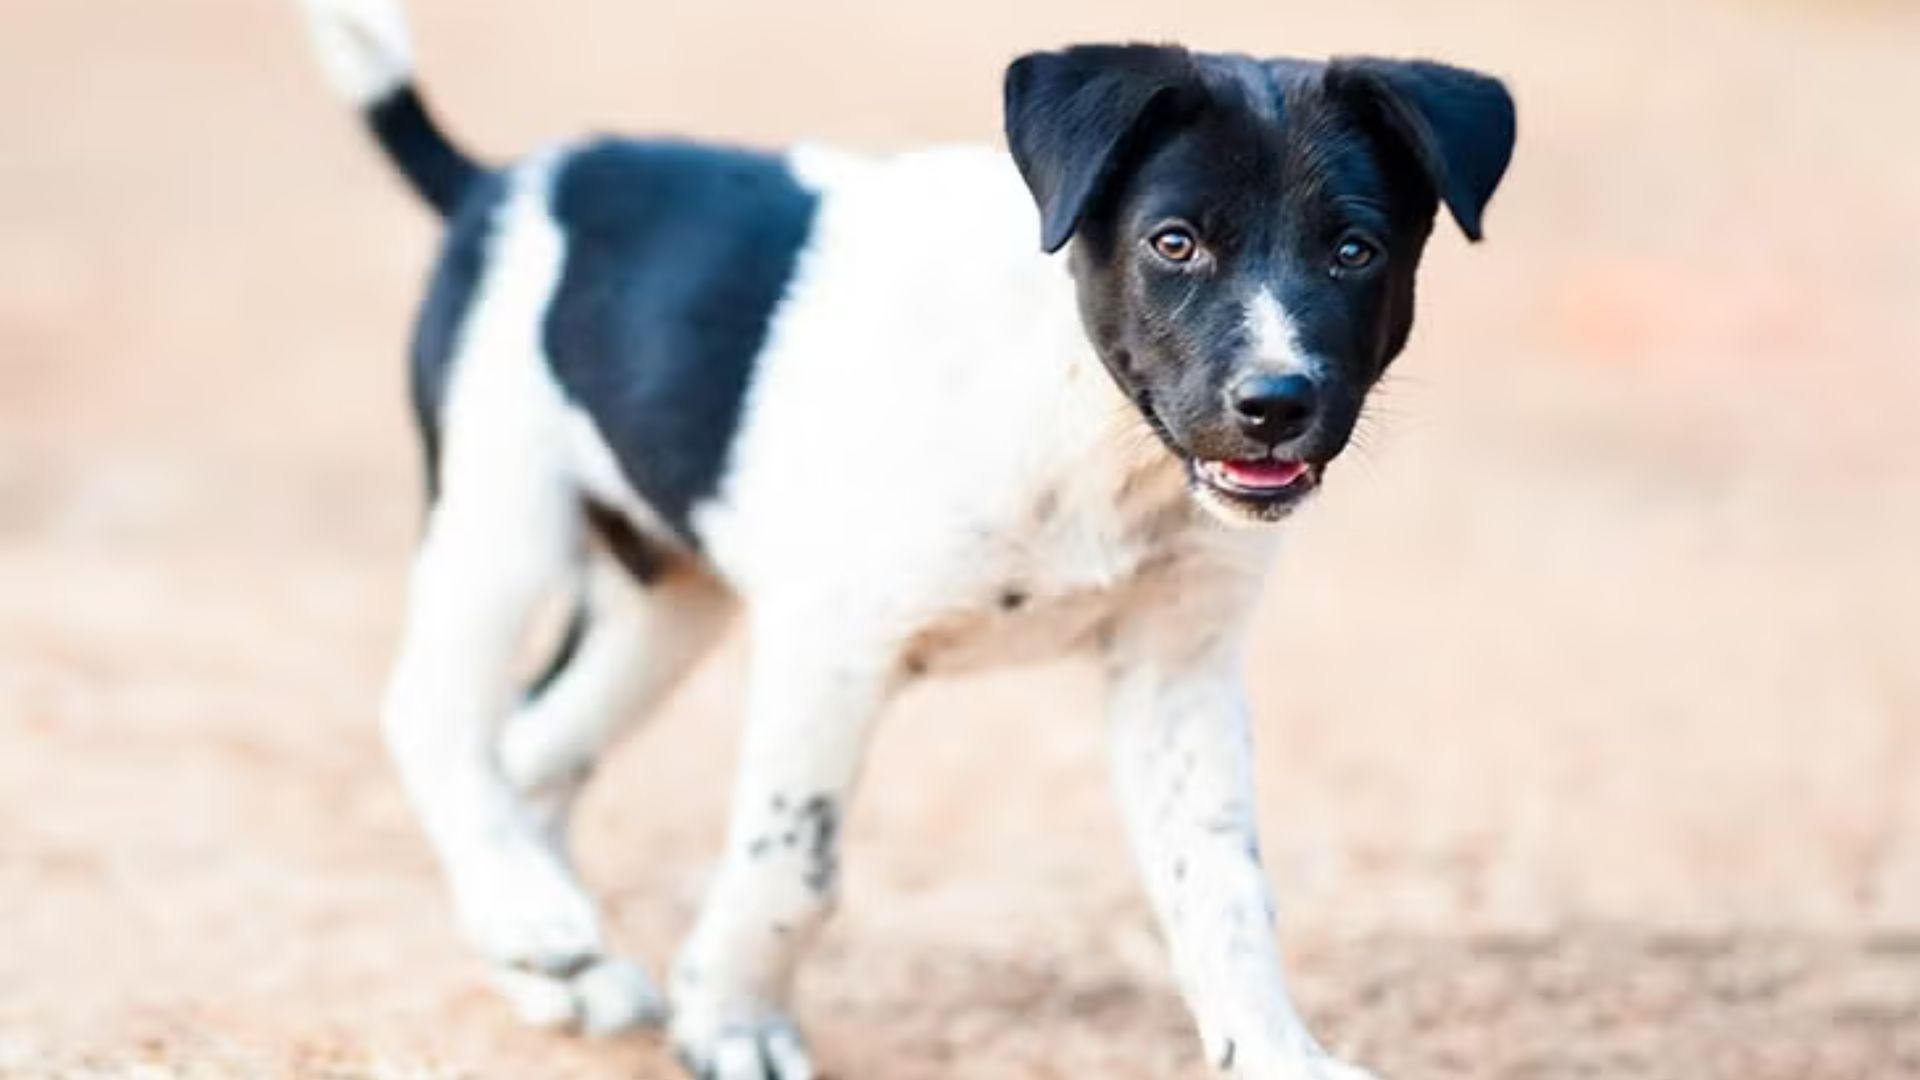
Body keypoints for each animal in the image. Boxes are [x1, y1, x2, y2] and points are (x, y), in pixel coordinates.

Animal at [295, 4, 1512, 1068]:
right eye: (1174, 243)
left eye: (1355, 251)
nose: (1276, 402)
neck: (1083, 417)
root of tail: (498, 185)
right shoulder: (830, 645)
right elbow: (791, 866)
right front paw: (731, 1021)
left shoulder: (1180, 664)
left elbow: (1218, 880)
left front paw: (1271, 1052)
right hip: (502, 516)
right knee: (433, 717)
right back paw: (532, 921)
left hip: (662, 599)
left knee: (534, 748)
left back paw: (553, 961)